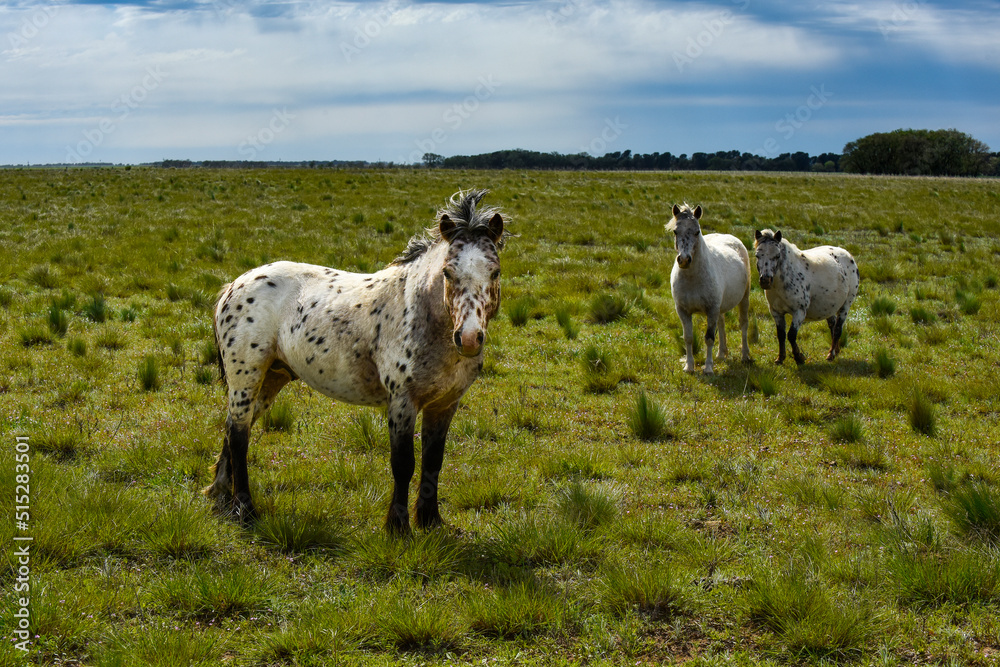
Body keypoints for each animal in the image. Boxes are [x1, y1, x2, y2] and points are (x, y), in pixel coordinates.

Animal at [204, 189, 508, 533]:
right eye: (448, 272)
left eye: (495, 271)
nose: (468, 339)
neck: (424, 317)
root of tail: (234, 285)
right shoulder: (402, 402)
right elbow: (404, 464)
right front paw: (399, 528)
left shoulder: (444, 405)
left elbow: (434, 461)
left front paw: (431, 522)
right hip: (246, 377)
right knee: (239, 437)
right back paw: (245, 509)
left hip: (271, 378)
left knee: (233, 428)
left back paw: (222, 494)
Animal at [667, 204, 752, 375]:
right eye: (675, 231)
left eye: (697, 231)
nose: (684, 260)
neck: (692, 279)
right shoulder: (683, 311)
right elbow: (688, 337)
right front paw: (689, 366)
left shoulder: (711, 309)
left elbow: (709, 338)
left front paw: (708, 368)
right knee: (722, 322)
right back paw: (721, 353)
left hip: (744, 298)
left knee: (743, 324)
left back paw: (745, 355)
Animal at [753, 229, 859, 365]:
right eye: (757, 255)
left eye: (777, 256)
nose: (765, 280)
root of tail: (847, 255)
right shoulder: (776, 312)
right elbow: (781, 334)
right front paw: (780, 358)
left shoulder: (799, 311)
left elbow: (791, 335)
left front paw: (799, 357)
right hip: (830, 307)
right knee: (832, 325)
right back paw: (835, 350)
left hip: (846, 305)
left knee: (837, 329)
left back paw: (831, 355)